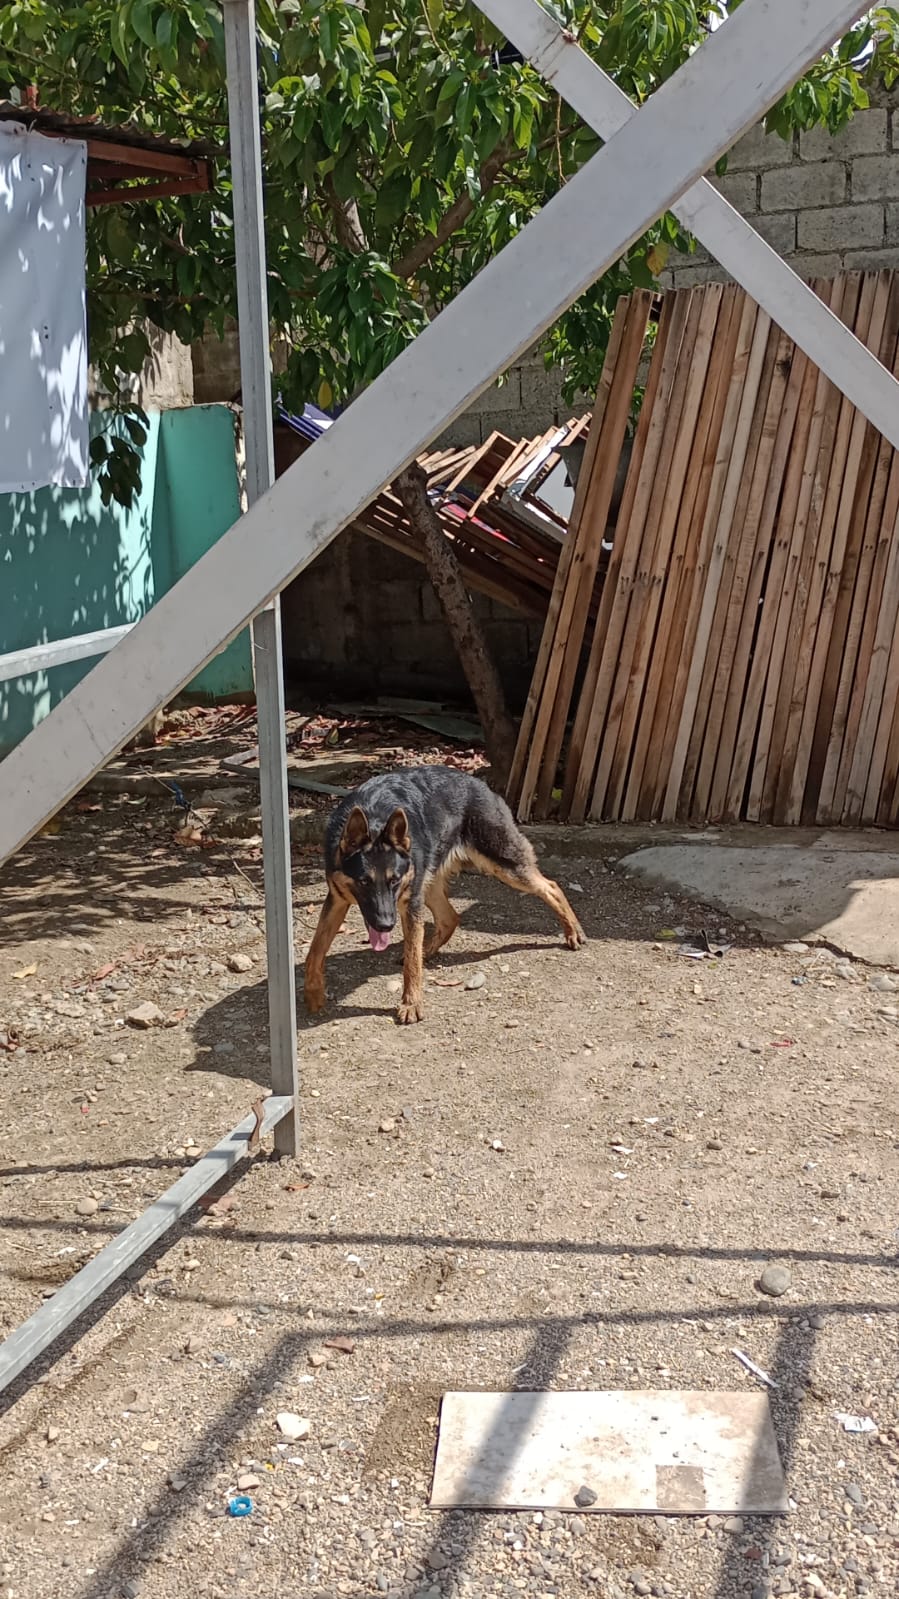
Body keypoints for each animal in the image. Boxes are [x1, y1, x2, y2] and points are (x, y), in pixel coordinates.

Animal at [300, 764, 585, 1023]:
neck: (374, 819)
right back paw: (424, 950)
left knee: (551, 886)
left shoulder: (408, 905)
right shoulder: (337, 901)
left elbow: (412, 966)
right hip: (429, 887)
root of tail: (479, 784)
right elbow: (314, 951)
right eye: (363, 882)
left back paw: (573, 931)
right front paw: (313, 995)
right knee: (448, 919)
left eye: (394, 881)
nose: (386, 925)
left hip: (503, 867)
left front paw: (411, 1004)